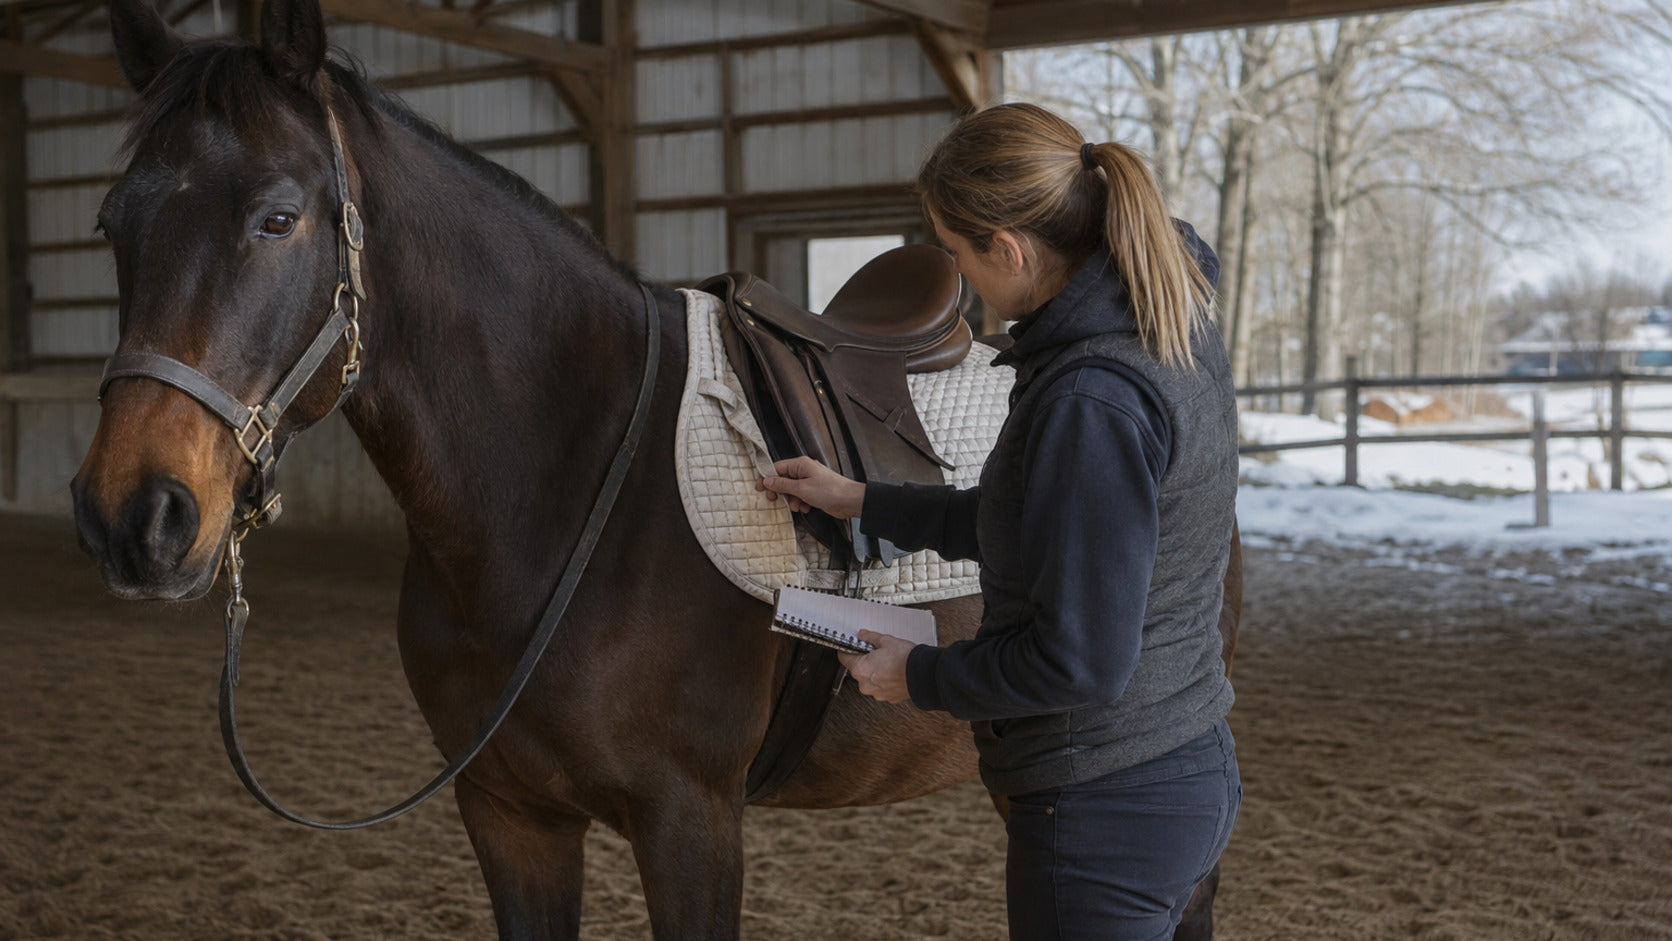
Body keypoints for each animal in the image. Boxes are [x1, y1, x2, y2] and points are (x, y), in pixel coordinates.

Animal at [69, 0, 1242, 936]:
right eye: (113, 220)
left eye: (277, 216)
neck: (562, 479)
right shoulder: (510, 815)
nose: (135, 515)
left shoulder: (690, 820)